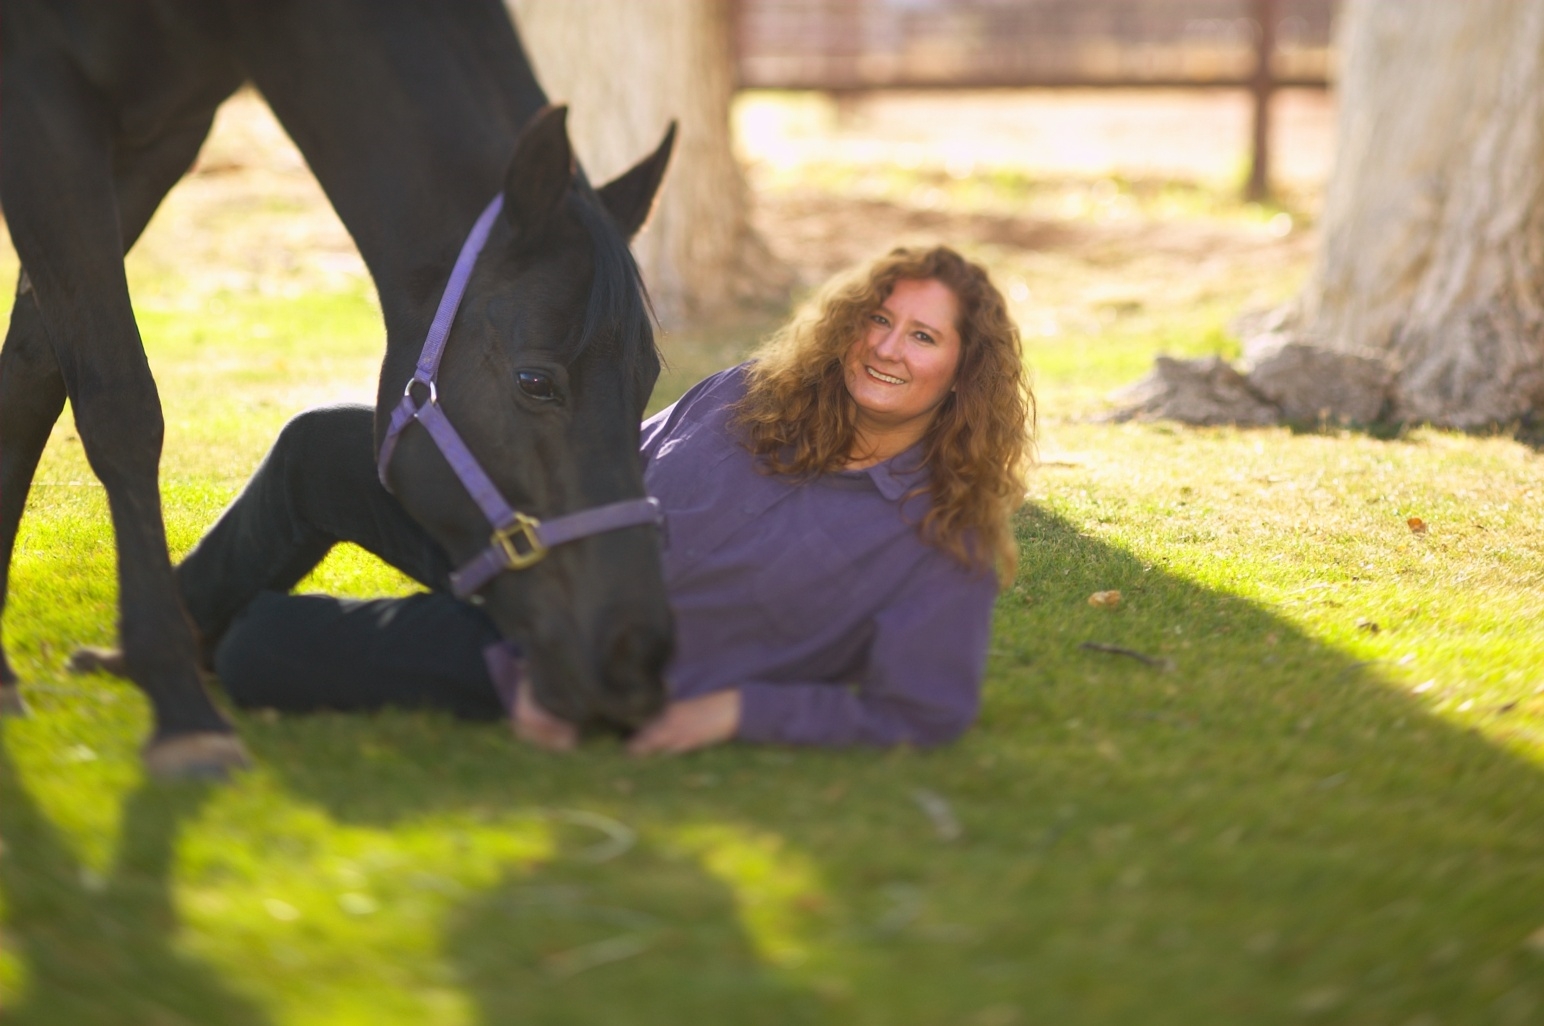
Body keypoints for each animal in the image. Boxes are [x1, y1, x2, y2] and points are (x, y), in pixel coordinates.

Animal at [0, 0, 677, 777]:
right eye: (536, 381)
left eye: (648, 381)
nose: (639, 654)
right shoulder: (42, 106)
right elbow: (117, 404)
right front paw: (179, 708)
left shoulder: (161, 134)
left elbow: (32, 375)